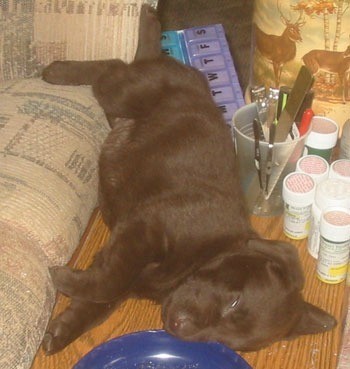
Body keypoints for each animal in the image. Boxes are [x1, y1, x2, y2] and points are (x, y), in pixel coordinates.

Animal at [41, 3, 336, 354]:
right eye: (235, 302)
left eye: (228, 341)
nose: (178, 327)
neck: (205, 255)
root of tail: (187, 72)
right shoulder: (146, 227)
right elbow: (109, 282)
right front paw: (62, 278)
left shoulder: (129, 263)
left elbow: (102, 297)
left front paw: (62, 329)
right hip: (127, 91)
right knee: (114, 66)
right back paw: (60, 69)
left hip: (123, 109)